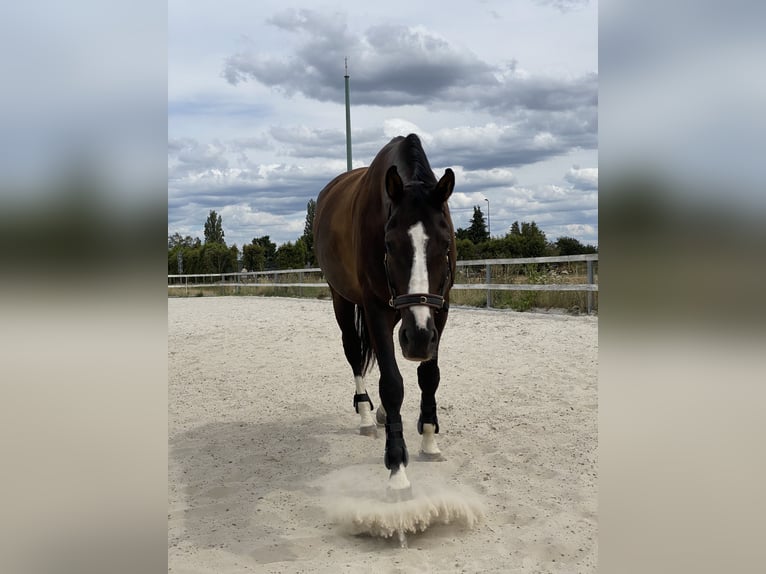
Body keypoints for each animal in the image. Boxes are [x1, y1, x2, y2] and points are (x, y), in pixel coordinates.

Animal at [313, 133, 457, 498]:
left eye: (445, 243)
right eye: (389, 244)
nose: (417, 340)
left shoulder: (440, 309)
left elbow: (429, 376)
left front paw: (429, 441)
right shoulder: (375, 308)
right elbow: (391, 384)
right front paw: (397, 470)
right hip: (342, 299)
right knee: (354, 353)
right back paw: (367, 414)